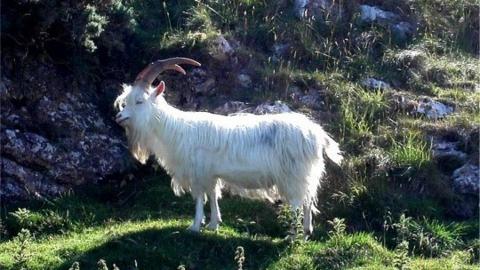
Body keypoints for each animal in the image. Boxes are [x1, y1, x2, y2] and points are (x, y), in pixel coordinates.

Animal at [115, 57, 344, 234]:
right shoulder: (210, 174)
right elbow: (212, 196)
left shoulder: (198, 172)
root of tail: (317, 134)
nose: (119, 117)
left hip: (294, 175)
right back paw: (306, 232)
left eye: (140, 101)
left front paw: (194, 226)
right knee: (307, 201)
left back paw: (293, 235)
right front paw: (213, 224)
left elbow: (200, 198)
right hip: (305, 175)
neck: (174, 128)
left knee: (298, 203)